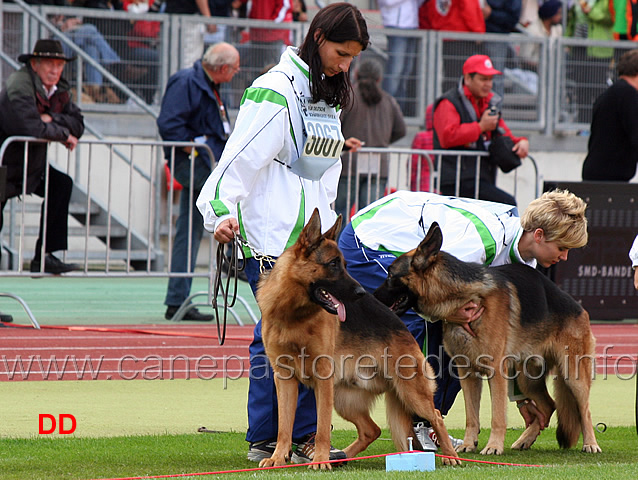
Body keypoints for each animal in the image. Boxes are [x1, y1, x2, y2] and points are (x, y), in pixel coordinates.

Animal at [258, 210, 462, 468]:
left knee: (435, 416)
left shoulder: (322, 379)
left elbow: (322, 426)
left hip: (410, 391)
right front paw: (278, 458)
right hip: (344, 399)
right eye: (333, 264)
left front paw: (320, 460)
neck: (293, 315)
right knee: (371, 430)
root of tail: (402, 328)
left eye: (345, 265)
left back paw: (451, 456)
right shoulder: (284, 379)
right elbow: (284, 426)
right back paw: (342, 457)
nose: (361, 292)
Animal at [376, 221, 604, 454]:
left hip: (573, 375)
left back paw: (590, 443)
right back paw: (525, 439)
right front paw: (469, 444)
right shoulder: (467, 373)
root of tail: (578, 307)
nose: (372, 298)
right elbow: (471, 417)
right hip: (526, 379)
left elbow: (497, 416)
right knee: (549, 406)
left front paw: (493, 446)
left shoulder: (496, 372)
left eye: (390, 276)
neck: (465, 298)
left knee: (584, 410)